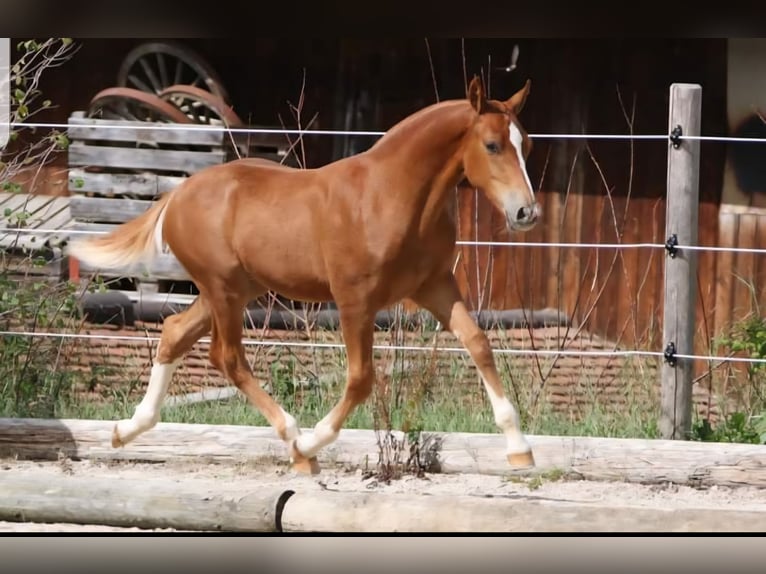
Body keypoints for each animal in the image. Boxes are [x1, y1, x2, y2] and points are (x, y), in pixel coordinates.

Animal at [66, 75, 541, 475]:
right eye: (492, 145)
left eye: (529, 145)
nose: (526, 213)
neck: (390, 195)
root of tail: (178, 193)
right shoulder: (354, 300)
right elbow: (361, 379)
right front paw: (311, 442)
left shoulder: (435, 286)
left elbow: (479, 344)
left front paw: (520, 448)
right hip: (222, 290)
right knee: (228, 357)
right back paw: (295, 442)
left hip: (235, 290)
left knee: (174, 332)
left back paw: (125, 430)